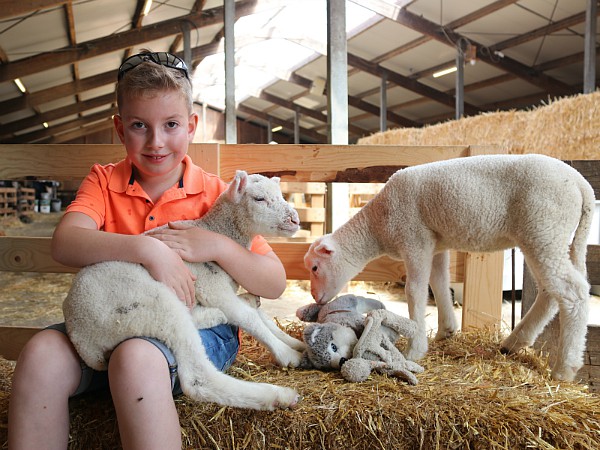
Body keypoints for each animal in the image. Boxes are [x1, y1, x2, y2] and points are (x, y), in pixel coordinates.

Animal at [63, 171, 304, 410]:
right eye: (259, 199)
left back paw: (222, 312)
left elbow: (261, 317)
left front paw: (296, 343)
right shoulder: (211, 287)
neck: (217, 231)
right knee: (198, 379)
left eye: (281, 196)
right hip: (151, 306)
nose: (295, 219)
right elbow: (249, 317)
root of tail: (81, 338)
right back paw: (279, 395)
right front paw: (288, 354)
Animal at [304, 154, 596, 380]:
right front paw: (446, 330)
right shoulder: (435, 244)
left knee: (573, 293)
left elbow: (415, 291)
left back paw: (565, 368)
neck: (378, 223)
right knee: (551, 292)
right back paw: (514, 343)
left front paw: (415, 347)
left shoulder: (414, 239)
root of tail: (581, 184)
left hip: (543, 229)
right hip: (553, 238)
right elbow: (439, 283)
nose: (316, 298)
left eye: (315, 267)